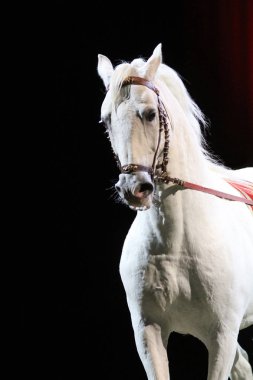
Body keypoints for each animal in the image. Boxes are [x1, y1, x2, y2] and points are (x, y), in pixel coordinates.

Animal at [97, 44, 253, 380]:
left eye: (150, 113)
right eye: (106, 121)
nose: (134, 188)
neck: (177, 243)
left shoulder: (222, 336)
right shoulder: (148, 331)